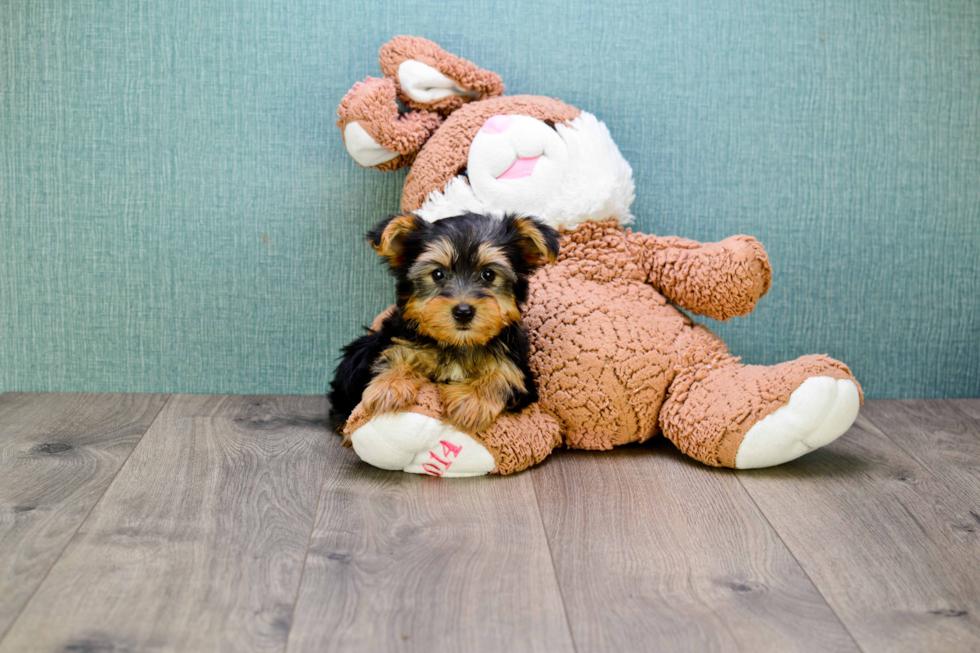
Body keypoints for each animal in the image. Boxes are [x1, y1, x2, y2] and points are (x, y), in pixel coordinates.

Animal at [330, 213, 560, 432]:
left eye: (488, 274)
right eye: (438, 274)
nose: (463, 312)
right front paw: (389, 386)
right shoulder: (401, 339)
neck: (458, 342)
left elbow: (505, 375)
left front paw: (472, 400)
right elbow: (396, 356)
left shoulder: (520, 371)